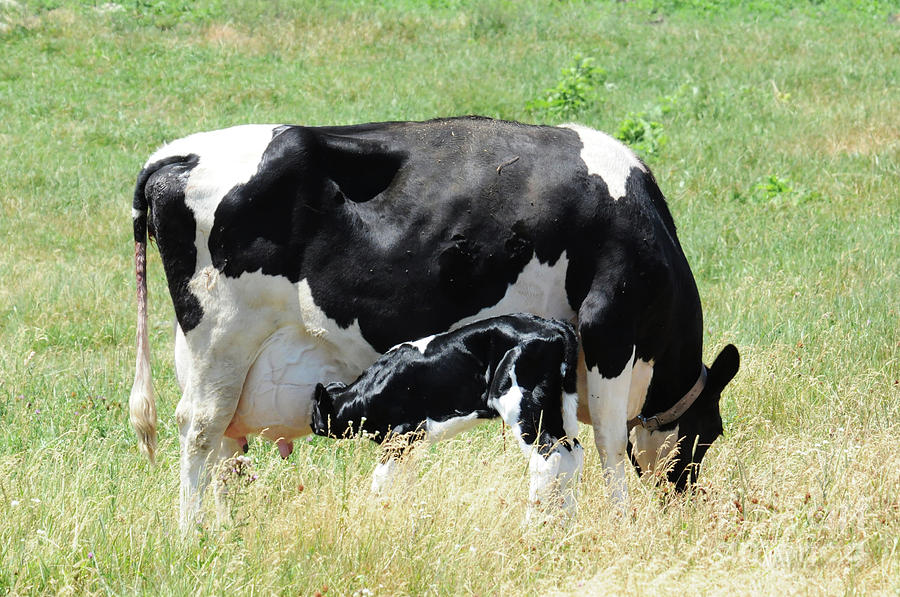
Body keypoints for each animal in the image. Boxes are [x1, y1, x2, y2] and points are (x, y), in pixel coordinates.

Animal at [312, 314, 588, 516]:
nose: (312, 426)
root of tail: (554, 325)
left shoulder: (400, 435)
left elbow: (381, 478)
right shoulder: (412, 444)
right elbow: (405, 481)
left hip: (521, 405)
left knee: (547, 456)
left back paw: (532, 524)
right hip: (556, 410)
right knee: (571, 453)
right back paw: (564, 521)